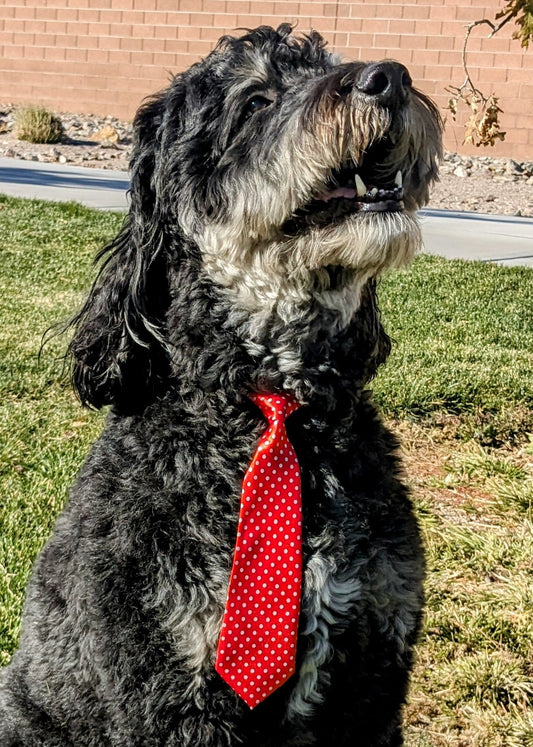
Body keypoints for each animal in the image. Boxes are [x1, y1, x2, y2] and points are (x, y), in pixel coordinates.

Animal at [0, 23, 440, 747]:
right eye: (256, 99)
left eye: (327, 63)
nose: (391, 77)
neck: (273, 407)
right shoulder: (171, 690)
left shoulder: (371, 676)